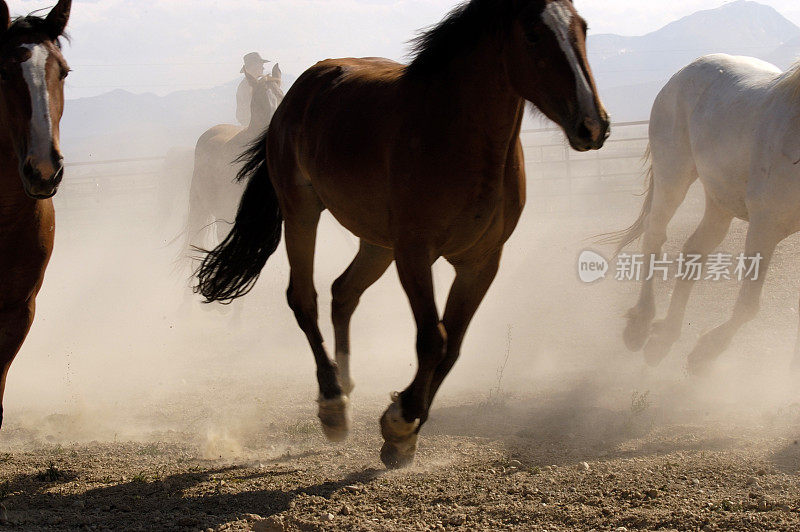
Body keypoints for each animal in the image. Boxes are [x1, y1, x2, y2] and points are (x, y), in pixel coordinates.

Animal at [195, 0, 608, 468]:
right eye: (534, 34)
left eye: (583, 28)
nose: (593, 125)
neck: (457, 134)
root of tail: (301, 91)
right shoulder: (415, 253)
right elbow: (432, 339)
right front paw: (400, 424)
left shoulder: (482, 262)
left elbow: (453, 345)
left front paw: (403, 428)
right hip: (302, 214)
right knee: (305, 298)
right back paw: (332, 403)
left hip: (377, 244)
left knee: (343, 293)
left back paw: (346, 385)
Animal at [608, 52, 800, 372]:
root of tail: (686, 70)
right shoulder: (765, 225)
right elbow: (748, 304)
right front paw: (705, 352)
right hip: (673, 175)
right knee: (654, 236)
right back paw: (641, 325)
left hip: (719, 200)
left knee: (692, 252)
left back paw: (664, 338)